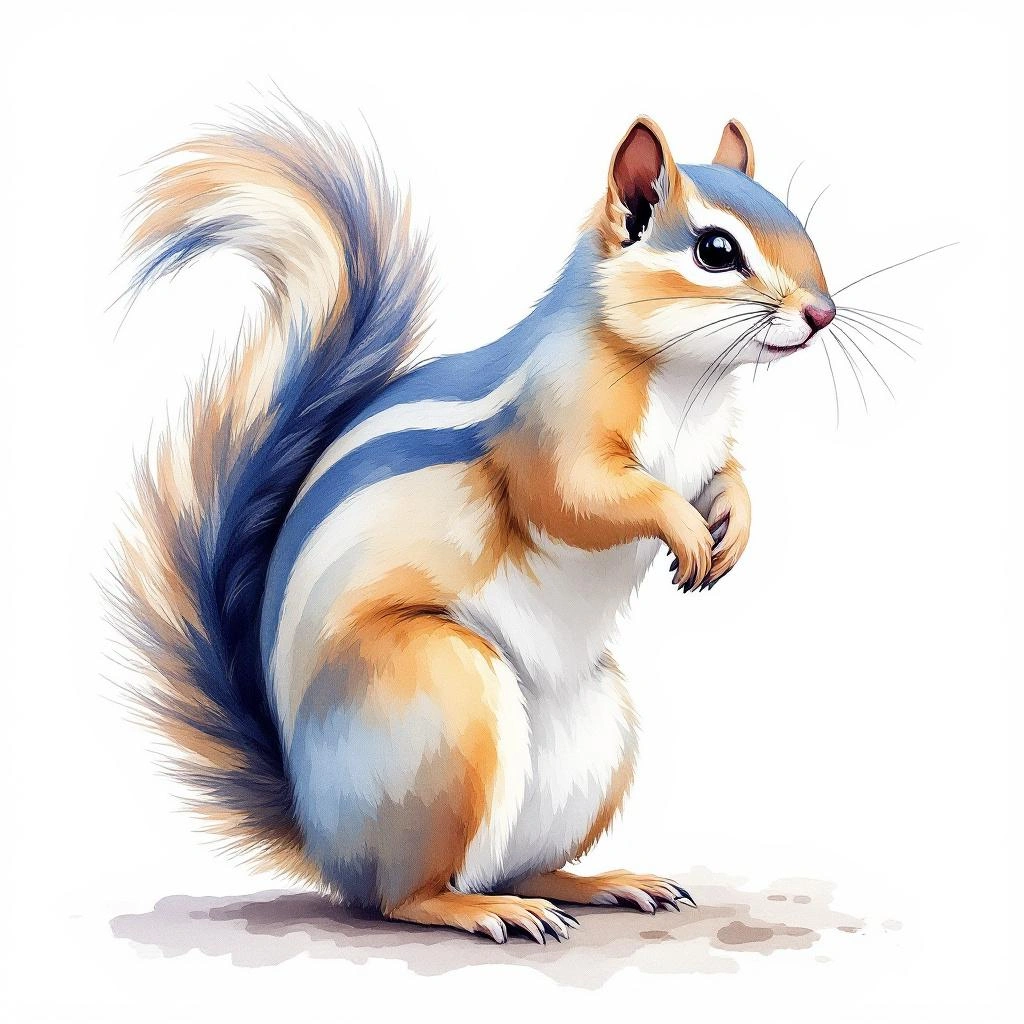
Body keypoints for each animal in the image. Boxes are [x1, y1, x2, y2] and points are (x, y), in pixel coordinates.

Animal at [113, 108, 835, 944]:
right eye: (717, 251)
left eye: (796, 221)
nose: (824, 314)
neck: (691, 382)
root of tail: (320, 837)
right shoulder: (552, 430)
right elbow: (580, 498)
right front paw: (682, 529)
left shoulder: (706, 453)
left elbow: (729, 479)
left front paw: (734, 525)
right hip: (445, 692)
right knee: (407, 896)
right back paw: (484, 909)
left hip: (599, 735)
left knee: (521, 863)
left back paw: (603, 884)